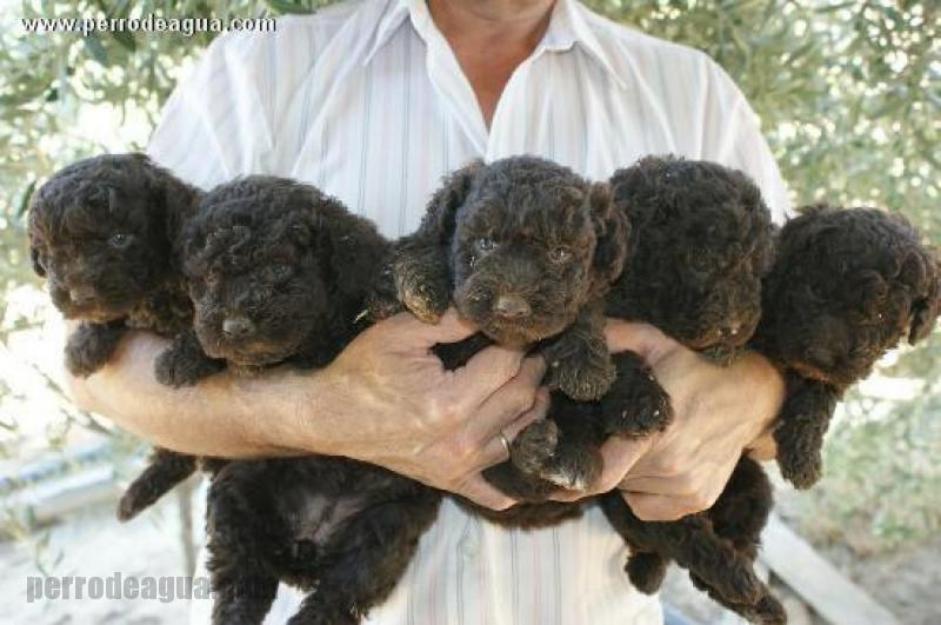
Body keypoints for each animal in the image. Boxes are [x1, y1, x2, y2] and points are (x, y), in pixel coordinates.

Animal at [27, 152, 207, 520]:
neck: (154, 289)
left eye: (120, 239)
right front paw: (83, 345)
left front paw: (182, 356)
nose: (80, 295)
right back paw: (137, 495)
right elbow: (113, 315)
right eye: (49, 254)